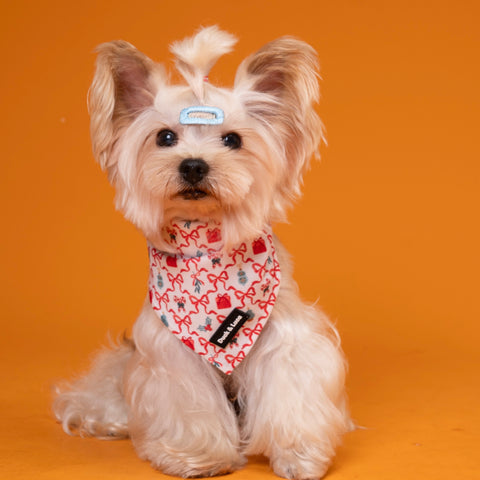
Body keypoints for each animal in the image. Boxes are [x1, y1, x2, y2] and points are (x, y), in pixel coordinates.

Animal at [53, 27, 352, 480]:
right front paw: (197, 456)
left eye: (233, 140)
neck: (206, 243)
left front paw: (299, 454)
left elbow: (290, 392)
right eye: (165, 137)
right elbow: (189, 404)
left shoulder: (286, 340)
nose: (193, 165)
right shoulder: (171, 352)